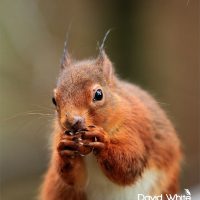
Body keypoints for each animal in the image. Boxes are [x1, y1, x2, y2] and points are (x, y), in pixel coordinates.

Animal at [39, 36, 181, 200]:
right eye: (54, 100)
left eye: (98, 94)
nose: (71, 122)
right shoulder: (58, 134)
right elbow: (75, 179)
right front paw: (65, 148)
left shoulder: (135, 125)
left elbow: (130, 164)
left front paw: (103, 142)